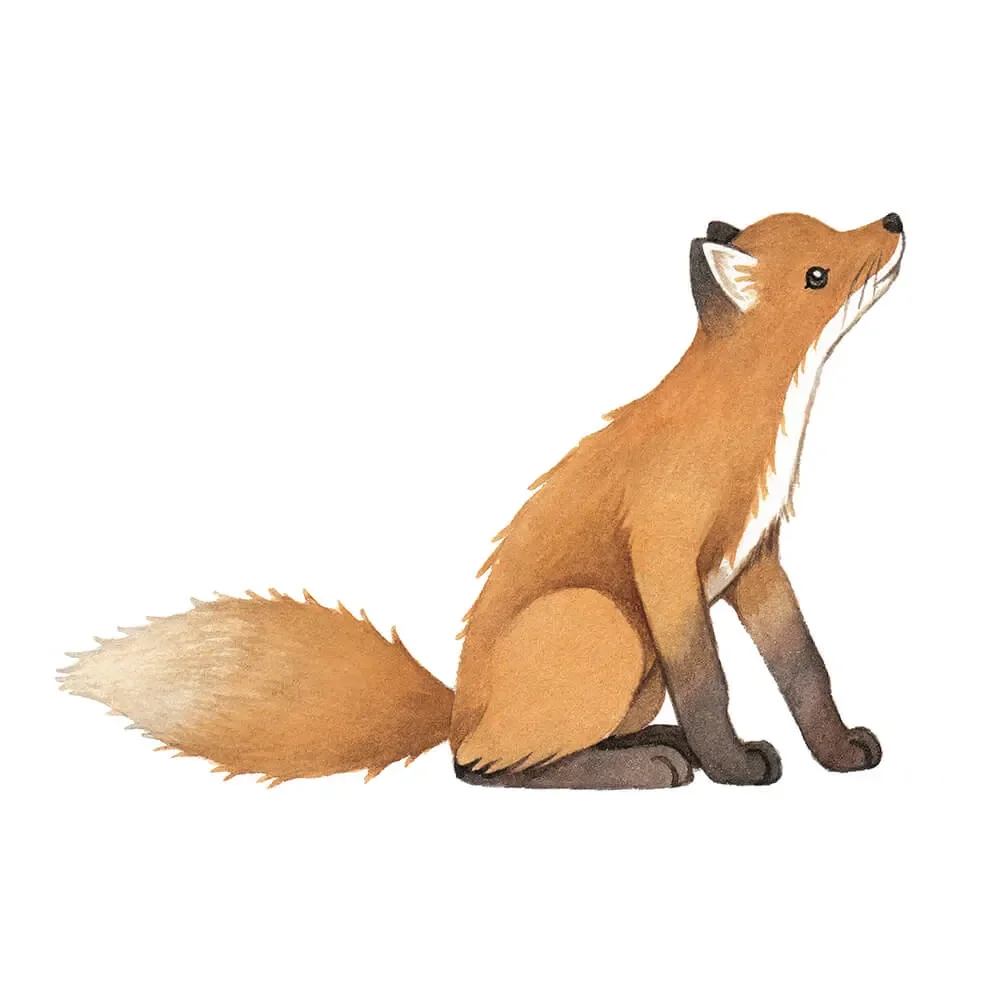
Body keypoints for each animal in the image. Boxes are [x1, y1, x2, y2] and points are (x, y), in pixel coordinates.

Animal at [60, 211, 906, 789]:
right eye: (818, 273)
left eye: (836, 229)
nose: (894, 220)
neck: (747, 426)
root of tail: (456, 707)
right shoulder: (666, 560)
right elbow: (710, 682)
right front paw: (732, 766)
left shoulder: (755, 560)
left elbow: (804, 668)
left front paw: (837, 753)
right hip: (603, 623)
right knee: (480, 768)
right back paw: (651, 766)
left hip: (631, 670)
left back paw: (652, 748)